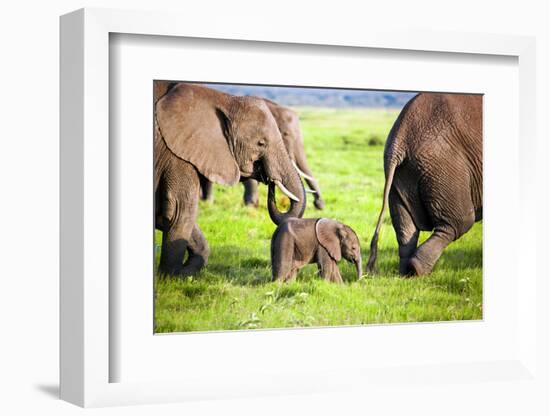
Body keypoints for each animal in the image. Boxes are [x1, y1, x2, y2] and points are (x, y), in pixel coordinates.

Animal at [155, 82, 308, 274]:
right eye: (261, 143)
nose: (271, 182)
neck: (223, 99)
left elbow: (165, 214)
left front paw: (182, 273)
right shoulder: (176, 155)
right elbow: (179, 210)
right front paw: (172, 276)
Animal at [368, 94, 486, 276]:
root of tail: (400, 137)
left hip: (401, 177)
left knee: (406, 229)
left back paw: (406, 274)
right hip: (443, 166)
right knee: (458, 223)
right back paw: (417, 271)